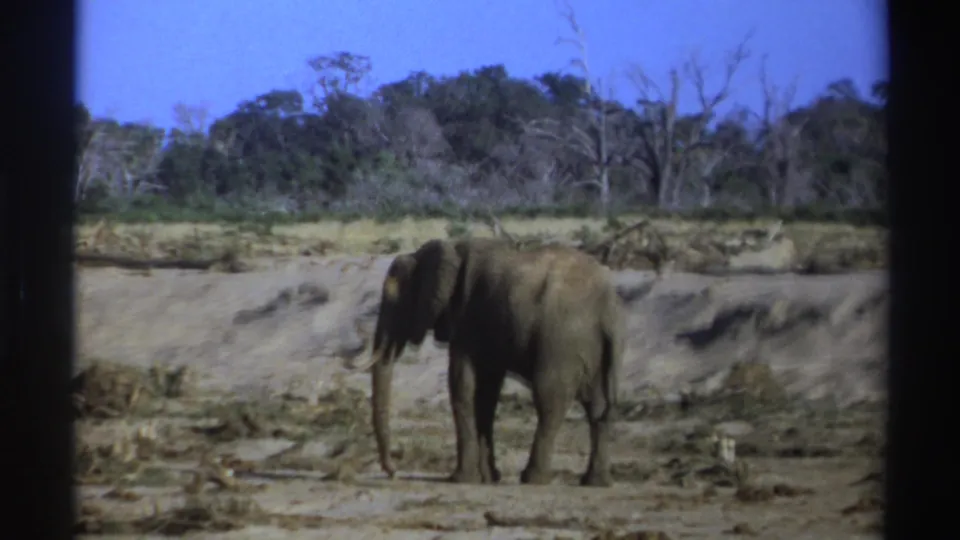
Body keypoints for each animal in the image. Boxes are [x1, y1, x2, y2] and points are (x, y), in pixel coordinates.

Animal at [350, 237, 626, 487]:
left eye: (395, 299)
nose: (393, 471)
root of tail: (608, 306)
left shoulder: (468, 319)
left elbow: (463, 386)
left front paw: (461, 480)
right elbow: (485, 393)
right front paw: (489, 478)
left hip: (561, 340)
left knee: (549, 400)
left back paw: (533, 479)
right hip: (591, 346)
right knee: (597, 406)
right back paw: (596, 482)